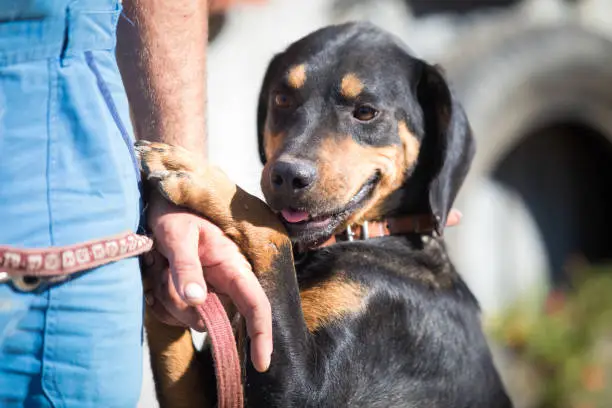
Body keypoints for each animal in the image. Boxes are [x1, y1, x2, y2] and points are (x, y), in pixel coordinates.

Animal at [137, 21, 512, 408]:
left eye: (366, 111)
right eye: (282, 99)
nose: (288, 176)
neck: (375, 235)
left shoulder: (300, 389)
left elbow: (269, 225)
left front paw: (195, 173)